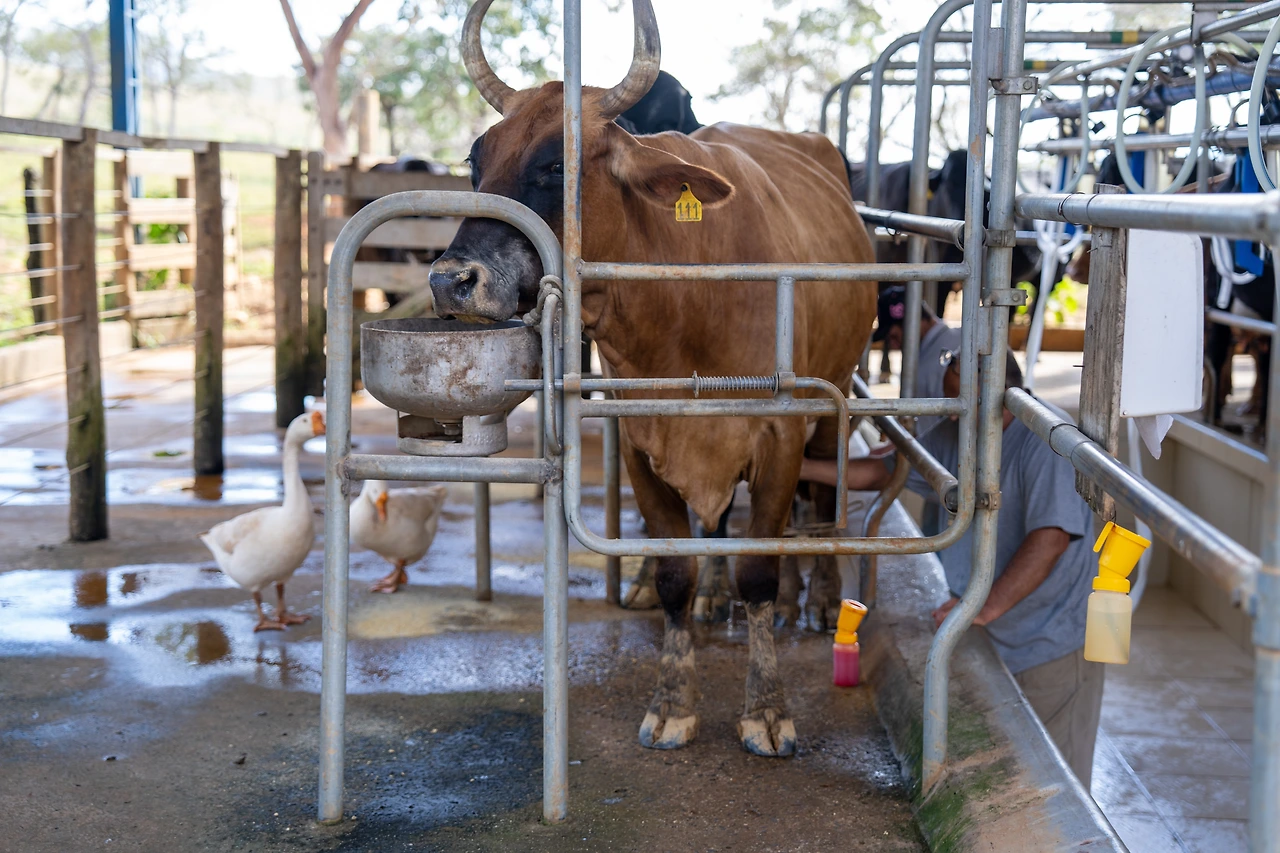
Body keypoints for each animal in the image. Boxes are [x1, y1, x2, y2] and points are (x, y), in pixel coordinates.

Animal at [429, 0, 877, 756]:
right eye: (475, 160)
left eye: (556, 164)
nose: (451, 279)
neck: (685, 301)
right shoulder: (643, 439)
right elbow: (674, 570)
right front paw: (673, 702)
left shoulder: (780, 433)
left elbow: (762, 569)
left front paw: (767, 708)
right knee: (716, 524)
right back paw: (718, 593)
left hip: (833, 398)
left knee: (817, 506)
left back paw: (815, 597)